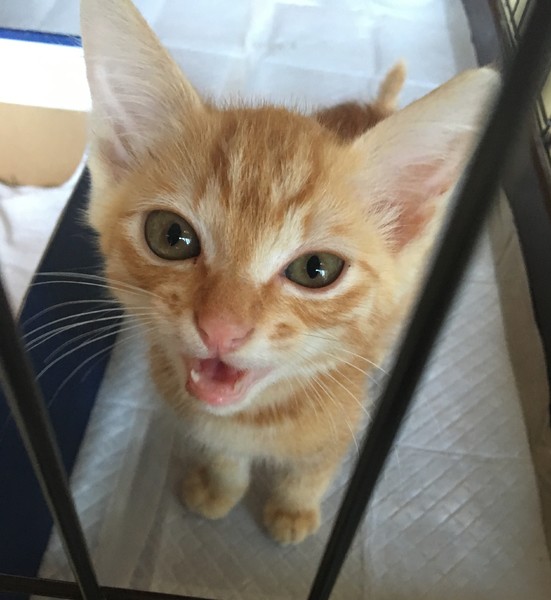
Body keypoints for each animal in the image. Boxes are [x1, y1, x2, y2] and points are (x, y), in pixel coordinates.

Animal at [80, 0, 499, 544]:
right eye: (171, 236)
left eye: (316, 269)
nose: (221, 329)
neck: (256, 417)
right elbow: (225, 455)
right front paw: (219, 485)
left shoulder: (344, 422)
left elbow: (313, 468)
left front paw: (293, 508)